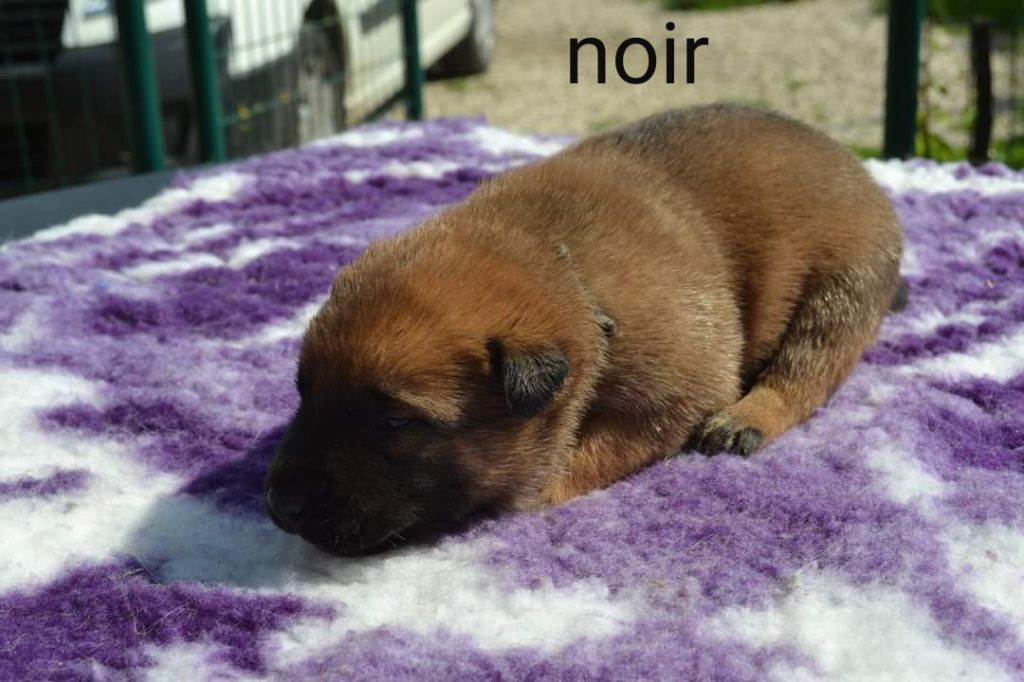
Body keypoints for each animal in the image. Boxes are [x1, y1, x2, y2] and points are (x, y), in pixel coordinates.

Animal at [264, 104, 904, 556]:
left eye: (394, 424)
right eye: (303, 393)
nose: (278, 507)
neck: (560, 265)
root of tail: (863, 174)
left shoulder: (671, 396)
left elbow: (584, 459)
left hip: (841, 289)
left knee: (808, 369)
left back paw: (749, 416)